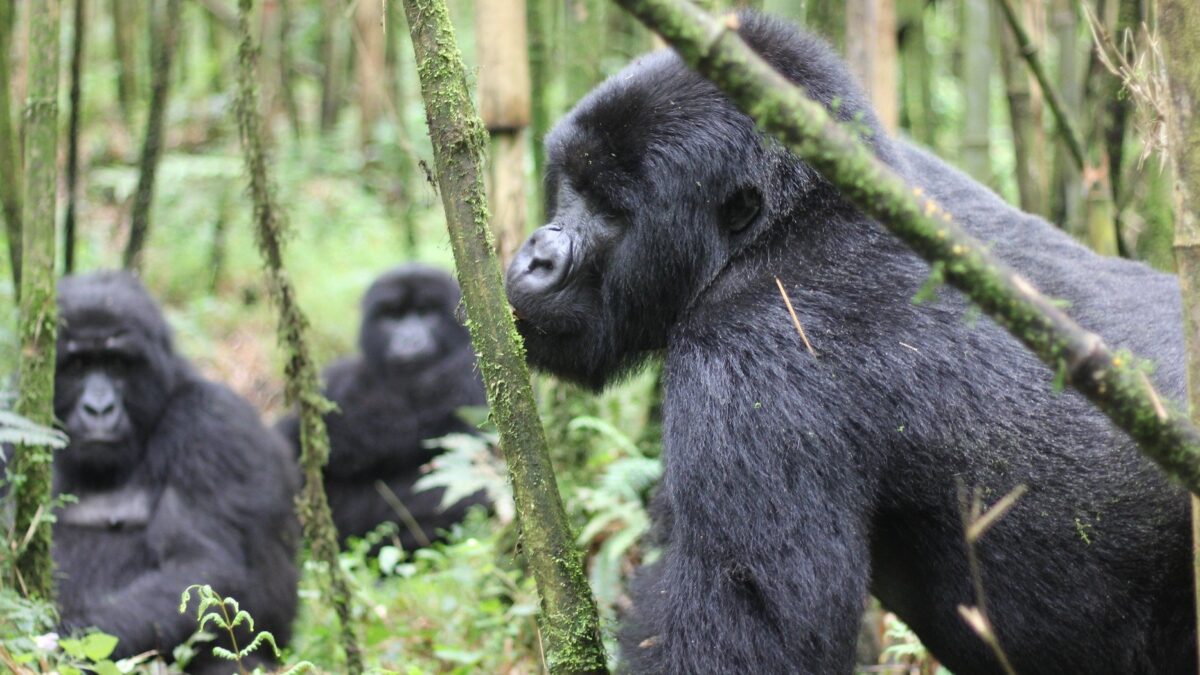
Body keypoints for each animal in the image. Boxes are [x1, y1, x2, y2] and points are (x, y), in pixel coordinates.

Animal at [39, 270, 300, 672]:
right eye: (78, 366)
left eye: (117, 365)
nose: (99, 409)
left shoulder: (212, 425)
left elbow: (201, 563)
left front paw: (68, 641)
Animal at [504, 11, 1190, 672]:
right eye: (571, 186)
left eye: (612, 213)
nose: (537, 255)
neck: (790, 220)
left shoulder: (747, 358)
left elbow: (745, 640)